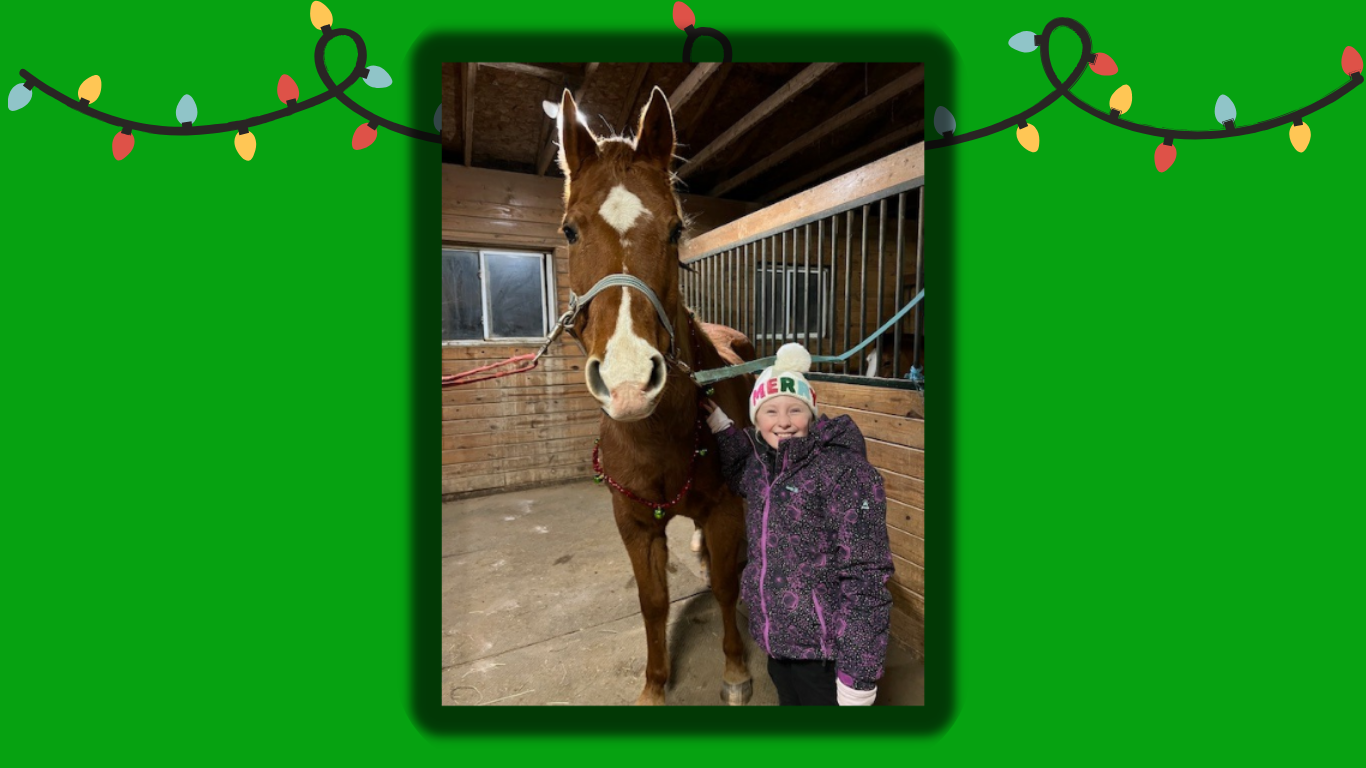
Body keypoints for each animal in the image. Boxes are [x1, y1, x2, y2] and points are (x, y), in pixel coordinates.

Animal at [556, 86, 755, 706]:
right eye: (570, 230)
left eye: (675, 229)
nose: (628, 383)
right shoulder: (635, 522)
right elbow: (653, 603)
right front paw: (653, 686)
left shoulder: (724, 510)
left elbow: (726, 587)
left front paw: (736, 672)